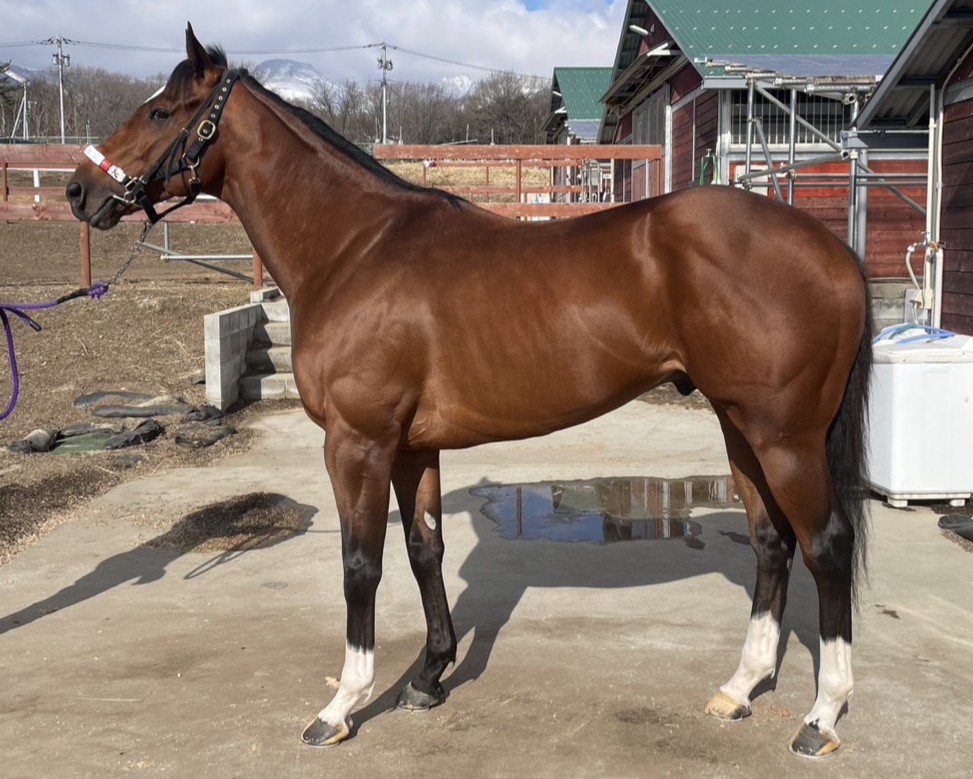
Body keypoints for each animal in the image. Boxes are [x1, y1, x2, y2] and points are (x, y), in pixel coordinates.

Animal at [66, 25, 872, 759]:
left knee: (825, 545)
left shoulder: (357, 443)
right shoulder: (410, 447)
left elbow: (360, 564)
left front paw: (343, 704)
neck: (354, 250)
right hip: (740, 426)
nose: (80, 189)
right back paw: (739, 687)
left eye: (161, 112)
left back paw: (822, 716)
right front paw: (428, 676)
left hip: (785, 436)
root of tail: (830, 249)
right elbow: (424, 547)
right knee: (771, 543)